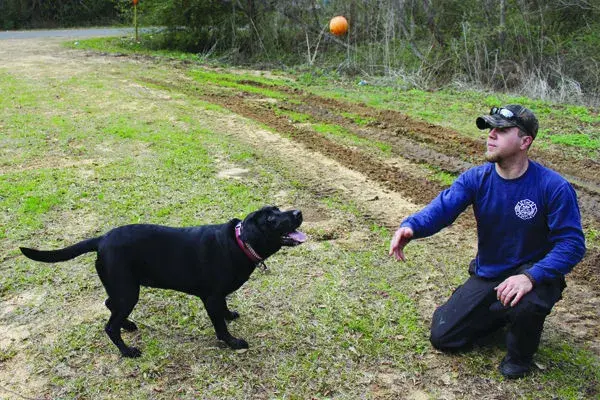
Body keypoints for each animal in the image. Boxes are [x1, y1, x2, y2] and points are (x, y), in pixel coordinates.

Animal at [20, 206, 305, 357]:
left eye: (279, 209)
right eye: (271, 218)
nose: (298, 212)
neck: (238, 242)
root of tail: (101, 239)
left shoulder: (218, 296)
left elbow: (225, 310)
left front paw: (231, 315)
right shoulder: (211, 298)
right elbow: (220, 327)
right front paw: (233, 343)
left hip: (122, 288)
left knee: (109, 304)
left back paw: (128, 325)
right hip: (128, 291)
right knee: (110, 325)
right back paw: (127, 351)